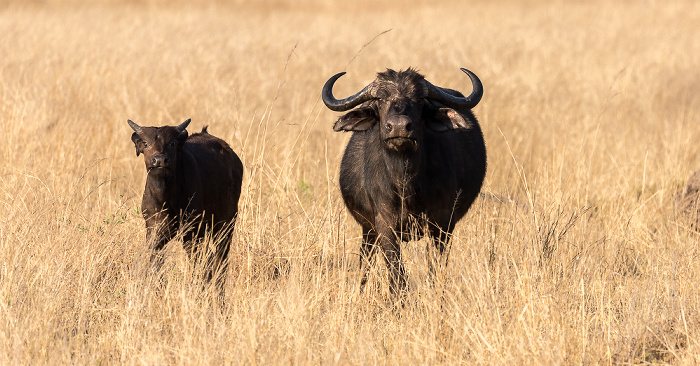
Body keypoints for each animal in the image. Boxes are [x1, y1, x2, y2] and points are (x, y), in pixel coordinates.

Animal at [128, 118, 243, 288]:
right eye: (145, 143)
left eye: (172, 143)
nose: (160, 160)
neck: (167, 199)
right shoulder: (154, 230)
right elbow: (155, 264)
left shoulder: (193, 232)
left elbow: (198, 264)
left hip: (226, 224)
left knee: (220, 258)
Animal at [322, 66, 486, 294]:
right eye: (380, 99)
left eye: (418, 99)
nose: (399, 127)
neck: (405, 184)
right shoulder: (384, 226)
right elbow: (396, 273)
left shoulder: (442, 225)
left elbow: (435, 269)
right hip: (368, 230)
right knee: (365, 260)